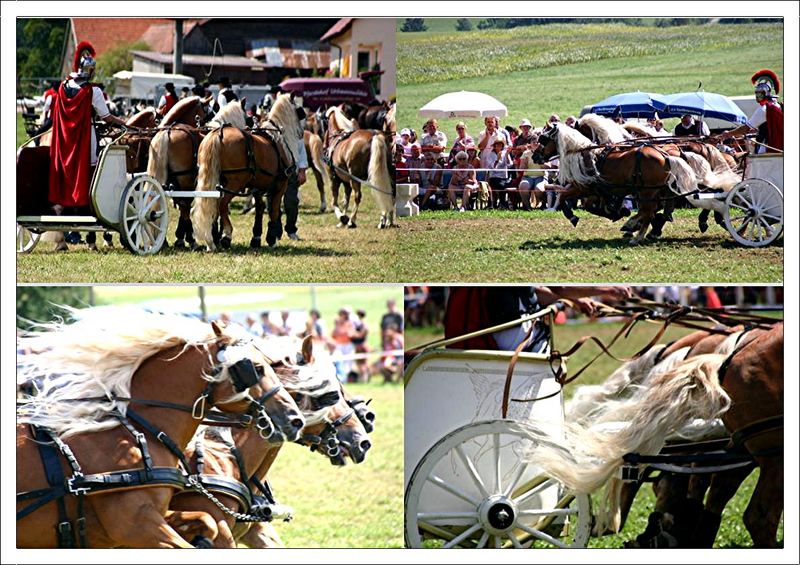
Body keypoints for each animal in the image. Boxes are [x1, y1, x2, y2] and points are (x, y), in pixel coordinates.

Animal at [192, 92, 304, 249]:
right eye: (299, 111)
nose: (301, 132)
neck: (278, 139)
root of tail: (218, 134)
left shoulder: (257, 186)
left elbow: (260, 208)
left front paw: (256, 237)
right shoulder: (281, 185)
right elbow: (274, 210)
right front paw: (271, 238)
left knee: (214, 204)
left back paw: (212, 239)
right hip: (235, 182)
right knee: (222, 204)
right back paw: (227, 235)